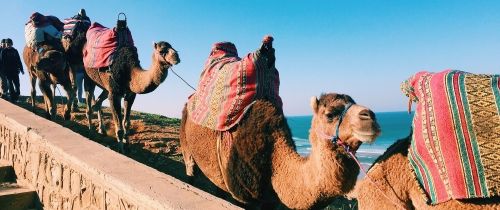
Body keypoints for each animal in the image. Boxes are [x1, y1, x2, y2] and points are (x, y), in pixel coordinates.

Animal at [182, 93, 380, 208]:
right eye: (330, 114)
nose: (370, 117)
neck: (274, 159)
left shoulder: (271, 201)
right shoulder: (244, 196)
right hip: (186, 143)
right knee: (190, 168)